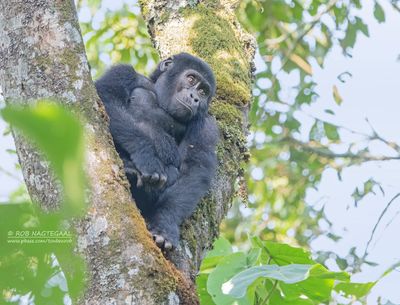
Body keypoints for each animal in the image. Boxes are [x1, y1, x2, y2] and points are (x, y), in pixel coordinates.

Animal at [95, 52, 219, 249]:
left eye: (203, 92)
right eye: (191, 79)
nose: (195, 98)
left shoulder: (207, 126)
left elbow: (193, 170)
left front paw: (165, 224)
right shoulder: (122, 72)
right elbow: (108, 99)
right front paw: (147, 158)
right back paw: (129, 168)